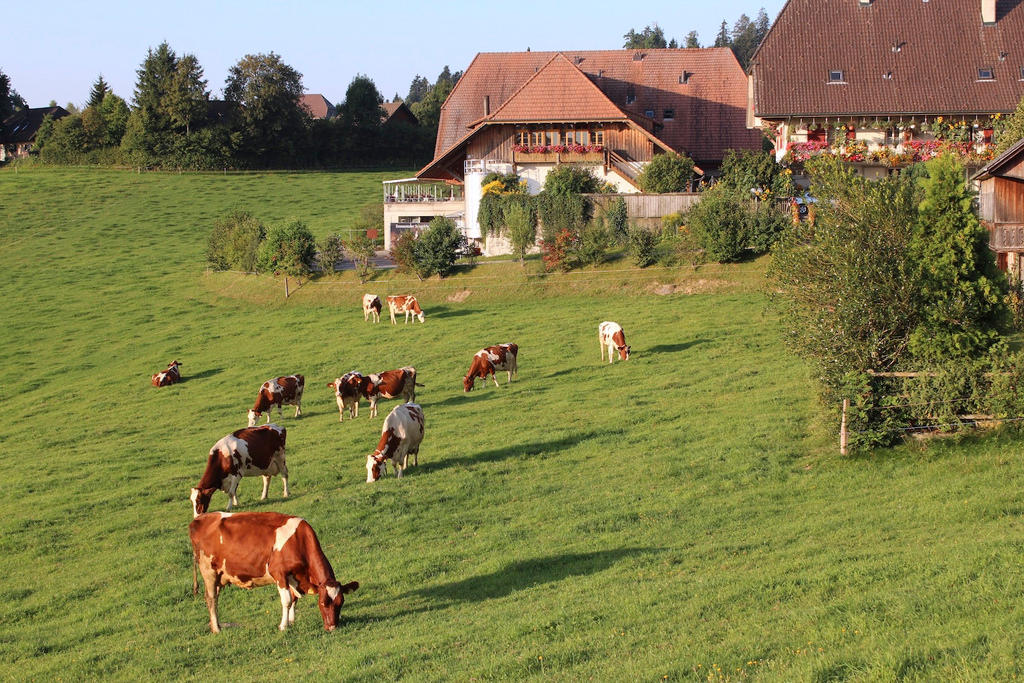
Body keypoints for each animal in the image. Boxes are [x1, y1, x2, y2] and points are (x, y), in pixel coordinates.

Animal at [190, 509, 362, 634]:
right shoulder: (279, 574)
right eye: (322, 603)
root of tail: (200, 518)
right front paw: (283, 626)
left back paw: (216, 624)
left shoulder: (293, 577)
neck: (299, 540)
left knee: (214, 597)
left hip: (219, 575)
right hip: (208, 571)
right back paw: (216, 629)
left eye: (341, 602)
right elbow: (287, 600)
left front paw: (291, 620)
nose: (332, 627)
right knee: (211, 598)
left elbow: (294, 598)